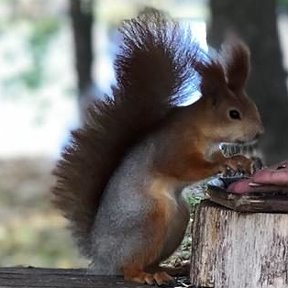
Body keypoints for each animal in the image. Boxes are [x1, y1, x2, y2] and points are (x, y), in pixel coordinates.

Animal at [51, 8, 264, 286]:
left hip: (179, 218)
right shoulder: (172, 145)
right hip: (149, 219)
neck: (201, 131)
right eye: (234, 114)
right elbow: (181, 166)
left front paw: (244, 161)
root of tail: (102, 256)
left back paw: (168, 270)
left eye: (252, 107)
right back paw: (143, 275)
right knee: (127, 267)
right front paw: (226, 163)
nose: (259, 132)